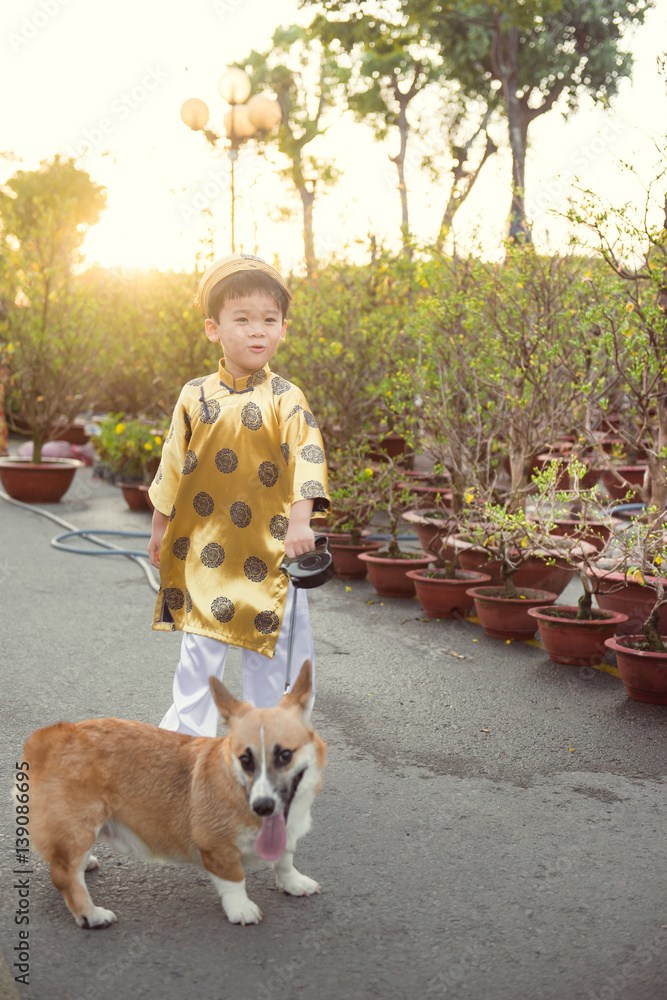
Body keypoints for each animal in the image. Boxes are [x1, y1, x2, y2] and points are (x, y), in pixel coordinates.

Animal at [20, 656, 324, 928]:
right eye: (245, 759)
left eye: (285, 755)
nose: (262, 806)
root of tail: (50, 736)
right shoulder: (216, 846)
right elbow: (234, 879)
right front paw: (241, 909)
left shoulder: (284, 836)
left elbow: (284, 860)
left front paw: (294, 883)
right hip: (81, 824)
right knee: (64, 874)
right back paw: (91, 915)